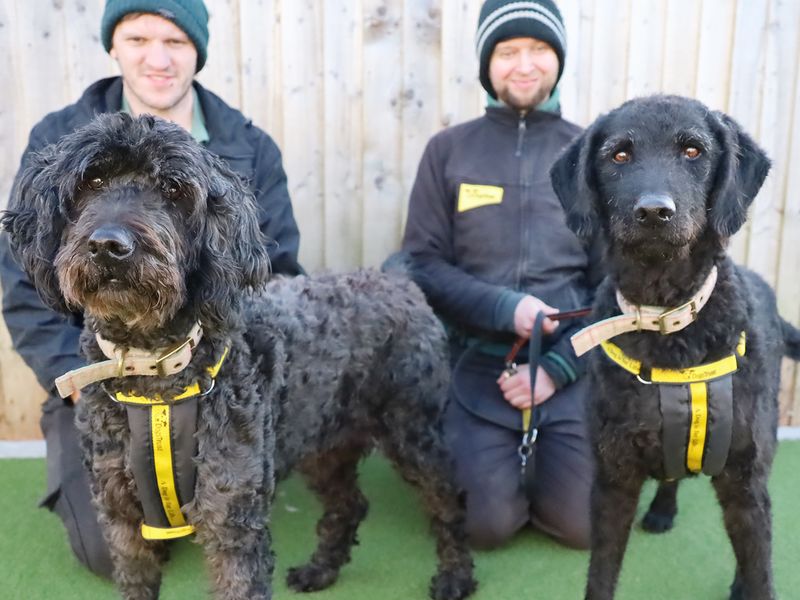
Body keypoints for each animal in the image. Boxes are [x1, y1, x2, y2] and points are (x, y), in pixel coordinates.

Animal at [1, 113, 476, 600]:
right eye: (91, 180)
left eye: (173, 189)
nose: (108, 245)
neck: (155, 371)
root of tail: (398, 281)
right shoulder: (122, 520)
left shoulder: (232, 513)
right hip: (324, 439)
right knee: (350, 503)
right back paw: (320, 570)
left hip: (412, 429)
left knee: (448, 499)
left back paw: (454, 577)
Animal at [552, 96, 800, 596]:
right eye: (618, 155)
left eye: (693, 151)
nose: (653, 212)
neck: (667, 322)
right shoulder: (613, 480)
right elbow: (601, 574)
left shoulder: (746, 484)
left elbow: (761, 569)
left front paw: (750, 582)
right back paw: (663, 508)